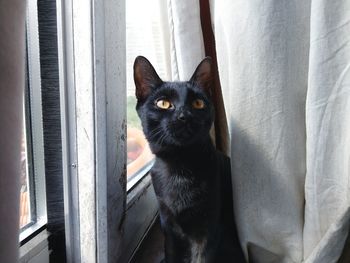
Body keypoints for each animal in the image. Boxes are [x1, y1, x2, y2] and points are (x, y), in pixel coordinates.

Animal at [134, 56, 246, 263]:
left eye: (198, 103)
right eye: (163, 103)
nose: (184, 116)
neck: (180, 166)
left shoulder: (208, 230)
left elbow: (201, 258)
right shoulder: (168, 227)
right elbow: (171, 255)